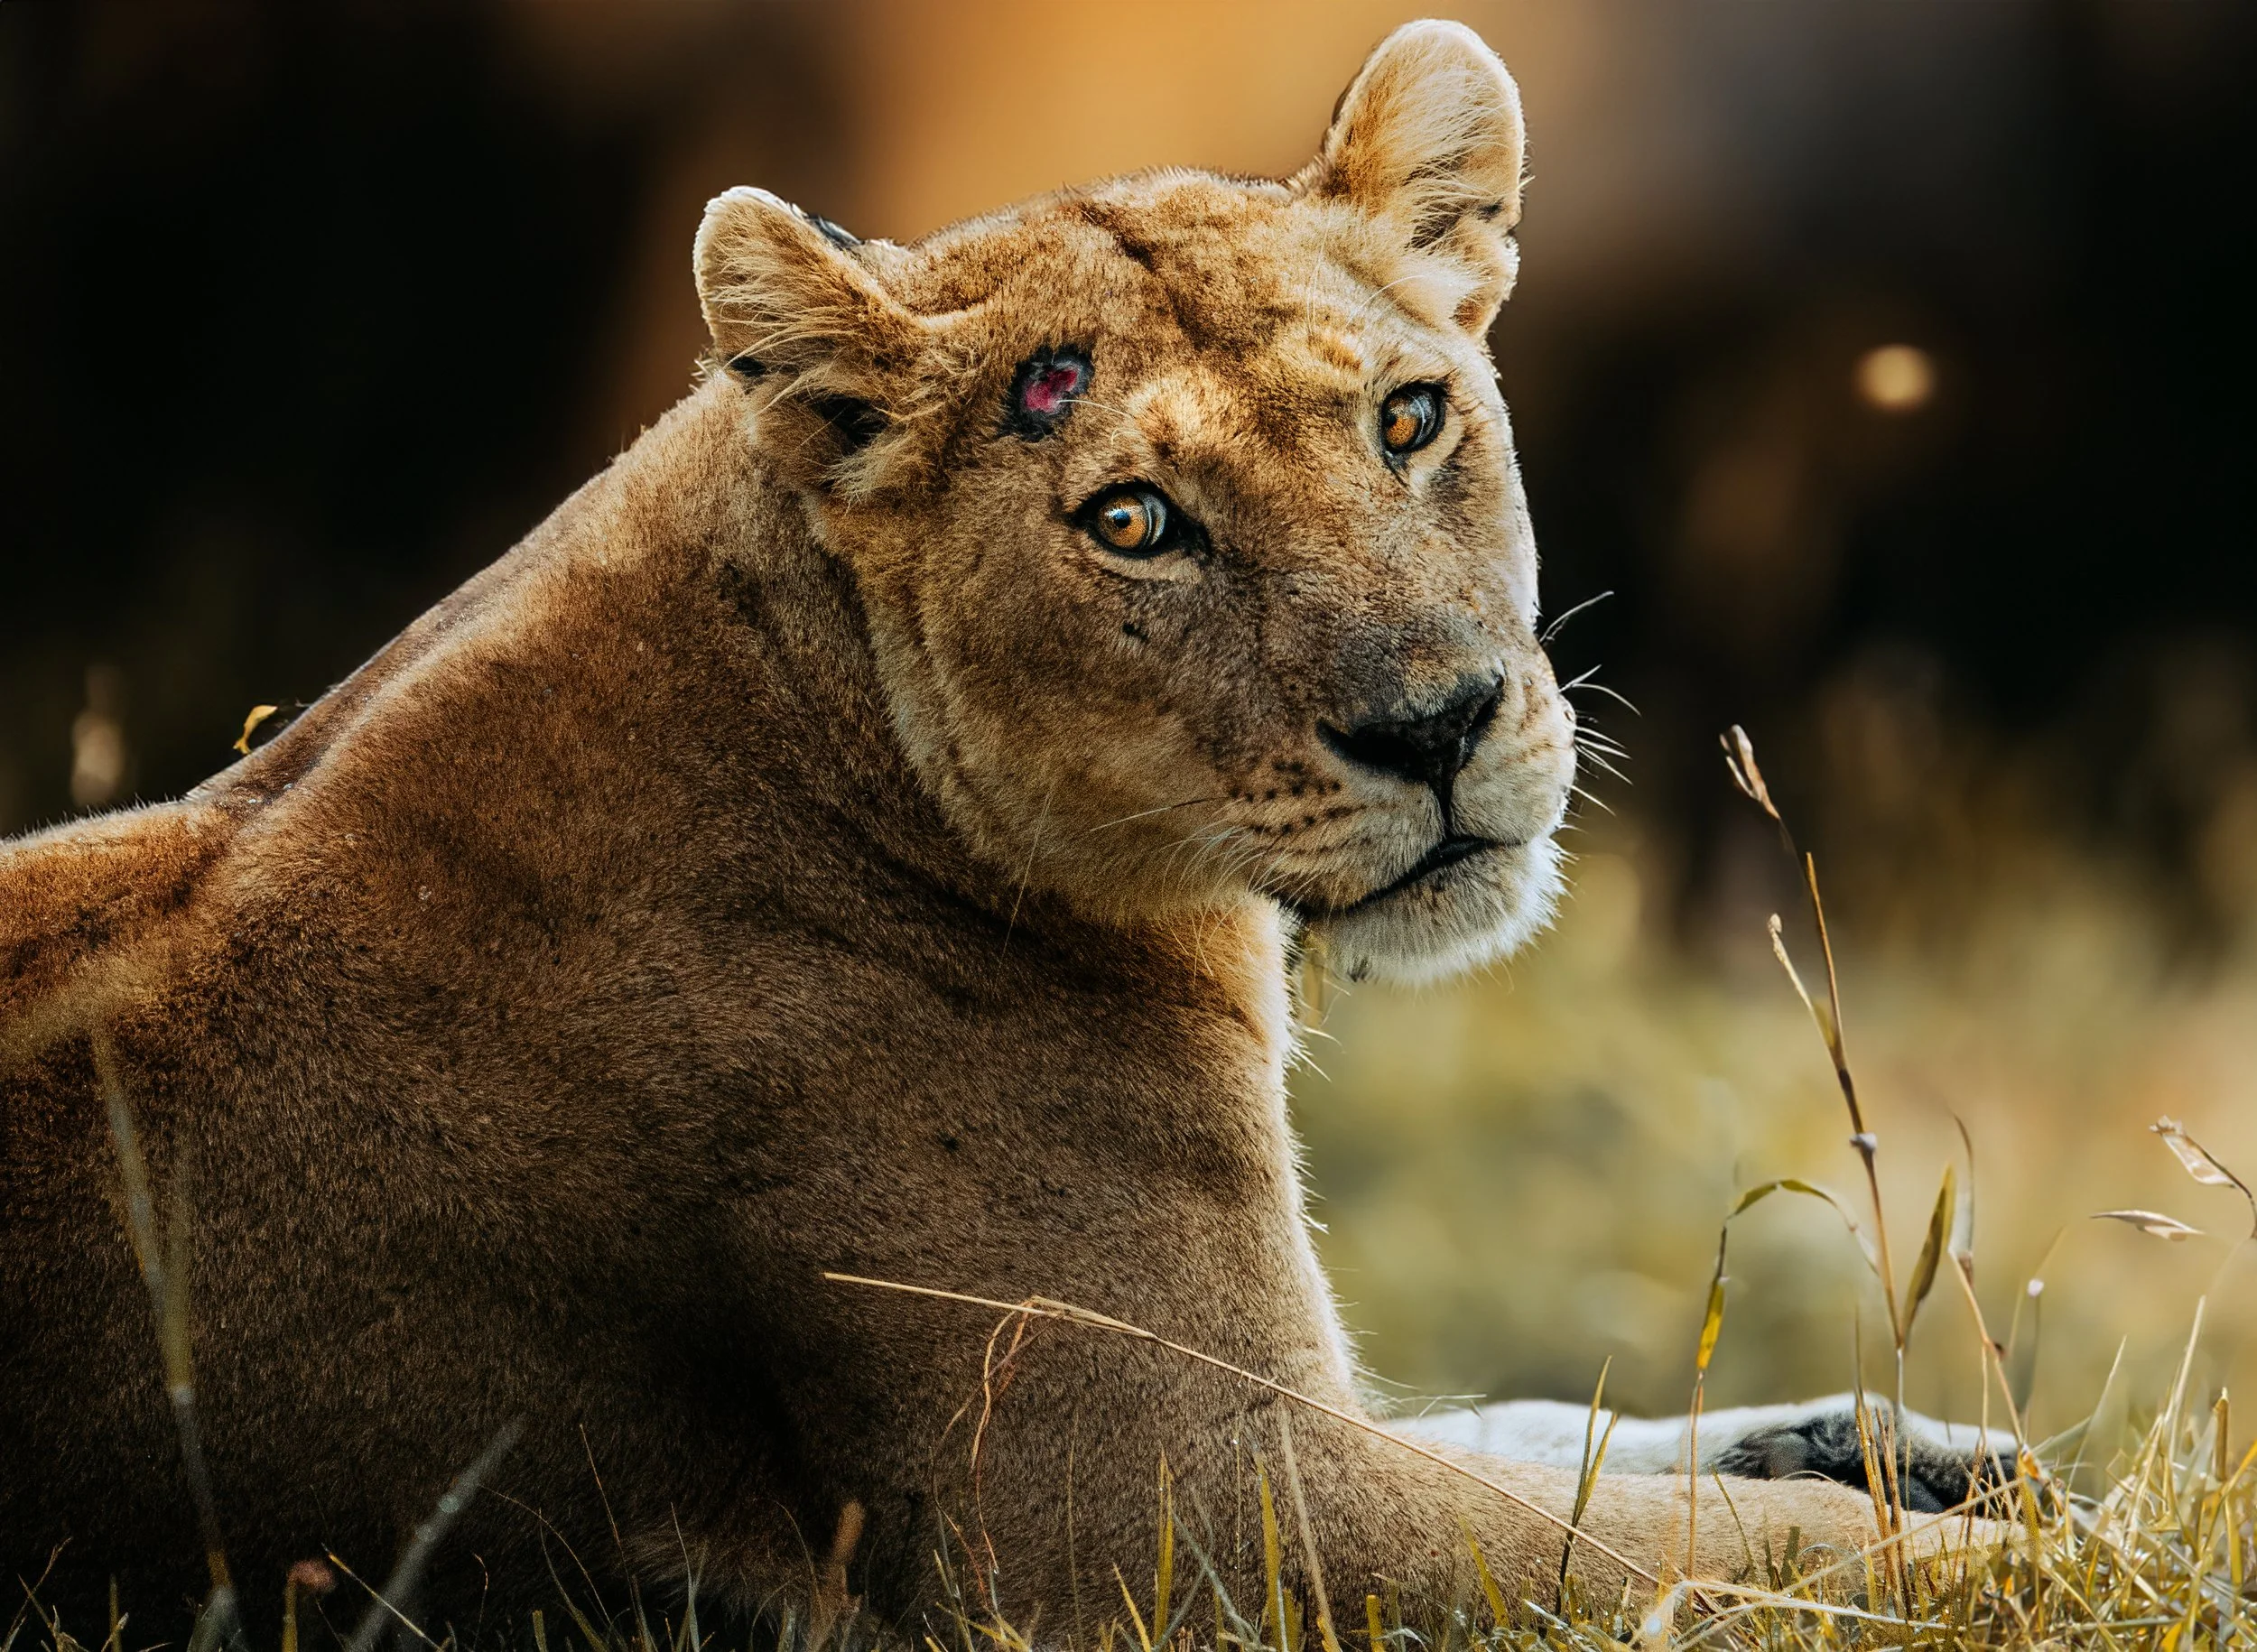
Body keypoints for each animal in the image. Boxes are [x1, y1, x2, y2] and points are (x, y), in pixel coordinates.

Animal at [0, 20, 2003, 1641]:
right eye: (1133, 524)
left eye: (1407, 418)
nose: (1438, 726)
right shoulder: (1163, 1513)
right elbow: (1676, 1548)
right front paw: (2000, 1552)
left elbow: (1562, 1437)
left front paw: (1918, 1442)